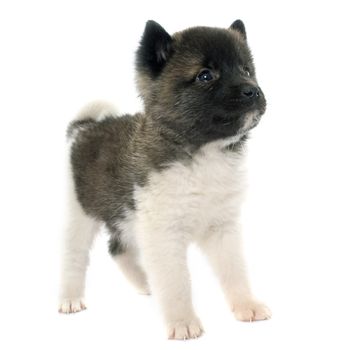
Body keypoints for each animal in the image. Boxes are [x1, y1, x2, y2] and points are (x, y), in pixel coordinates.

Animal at [58, 19, 270, 340]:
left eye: (246, 70)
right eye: (205, 76)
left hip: (126, 219)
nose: (253, 91)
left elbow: (235, 270)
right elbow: (176, 282)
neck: (201, 155)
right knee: (74, 255)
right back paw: (70, 298)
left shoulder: (222, 228)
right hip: (79, 213)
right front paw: (182, 322)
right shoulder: (164, 234)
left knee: (118, 249)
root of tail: (86, 128)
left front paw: (246, 305)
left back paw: (145, 283)